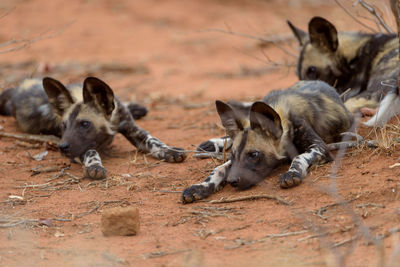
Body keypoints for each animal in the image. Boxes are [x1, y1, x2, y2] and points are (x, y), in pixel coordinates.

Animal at [0, 76, 188, 179]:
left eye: (84, 124)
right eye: (64, 126)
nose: (62, 147)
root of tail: (17, 89)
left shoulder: (131, 128)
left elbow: (153, 141)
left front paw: (170, 151)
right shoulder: (78, 148)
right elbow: (91, 151)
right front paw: (94, 167)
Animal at [181, 80, 354, 204]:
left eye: (254, 155)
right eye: (233, 155)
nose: (232, 182)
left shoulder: (319, 148)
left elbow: (299, 157)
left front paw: (291, 173)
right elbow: (218, 169)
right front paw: (199, 187)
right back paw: (213, 143)